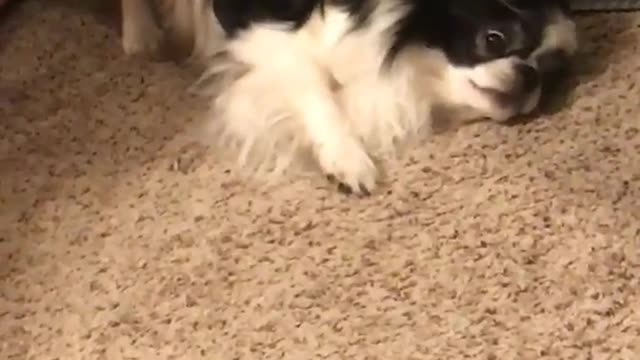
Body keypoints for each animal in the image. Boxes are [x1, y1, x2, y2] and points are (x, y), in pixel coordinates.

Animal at [117, 0, 576, 195]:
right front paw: (348, 161)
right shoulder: (265, 32)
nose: (528, 76)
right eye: (494, 38)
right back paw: (141, 35)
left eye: (551, 73)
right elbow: (317, 89)